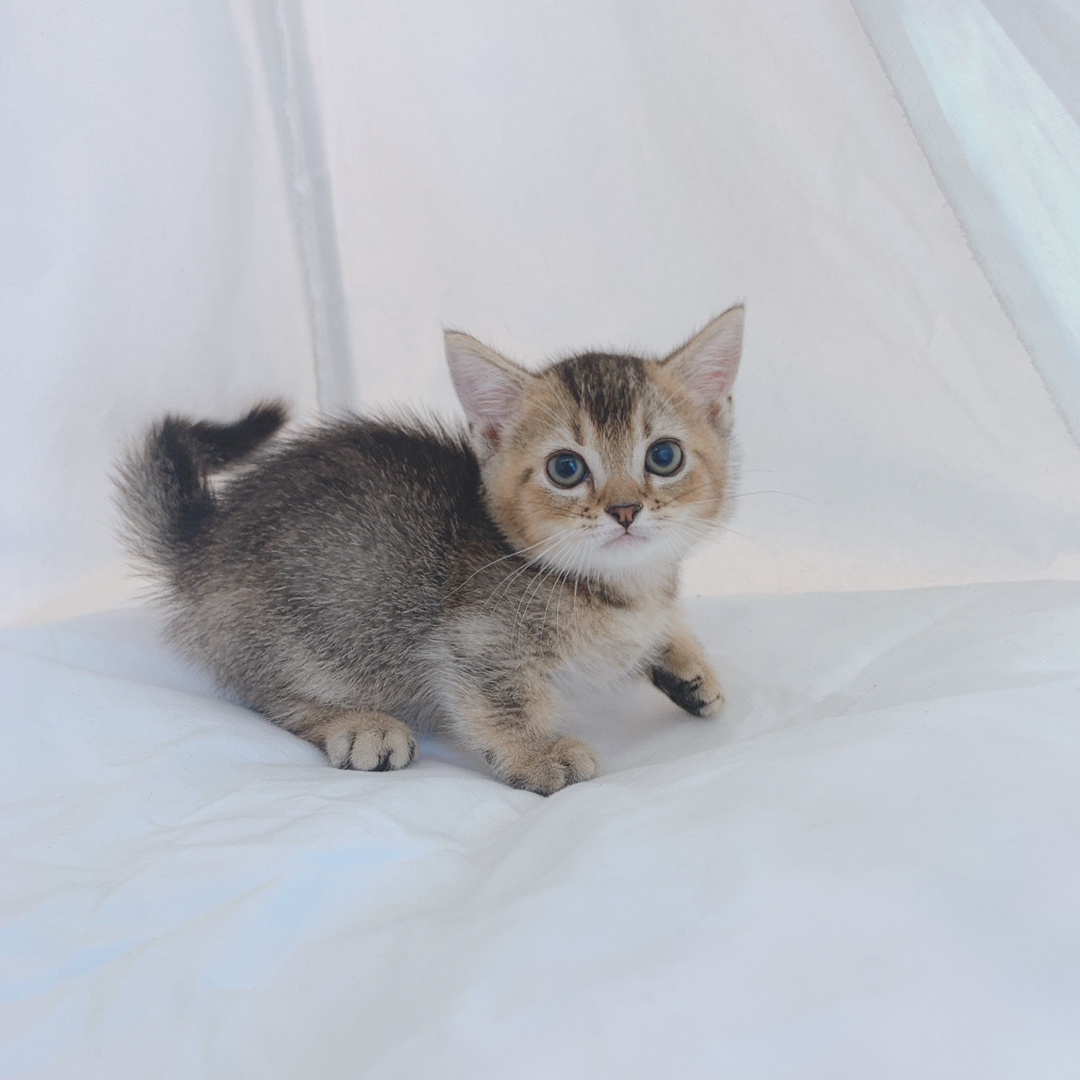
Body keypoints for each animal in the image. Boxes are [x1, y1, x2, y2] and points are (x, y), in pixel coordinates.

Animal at [118, 305, 744, 794]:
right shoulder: (473, 637)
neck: (620, 592)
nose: (625, 509)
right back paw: (359, 725)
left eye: (664, 457)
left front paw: (687, 667)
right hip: (306, 636)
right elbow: (499, 701)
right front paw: (537, 754)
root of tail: (203, 539)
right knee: (269, 696)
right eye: (566, 469)